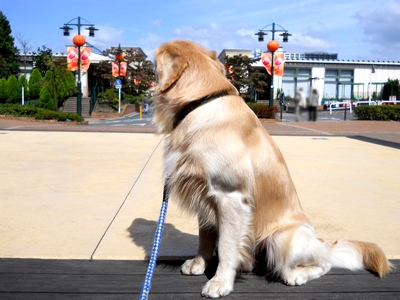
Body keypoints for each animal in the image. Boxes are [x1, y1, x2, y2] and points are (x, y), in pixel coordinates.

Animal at [152, 39, 392, 298]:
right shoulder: (205, 194)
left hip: (282, 239)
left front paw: (220, 282)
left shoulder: (230, 197)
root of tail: (322, 243)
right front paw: (199, 263)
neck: (200, 104)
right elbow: (205, 237)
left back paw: (296, 275)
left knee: (322, 264)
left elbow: (225, 246)